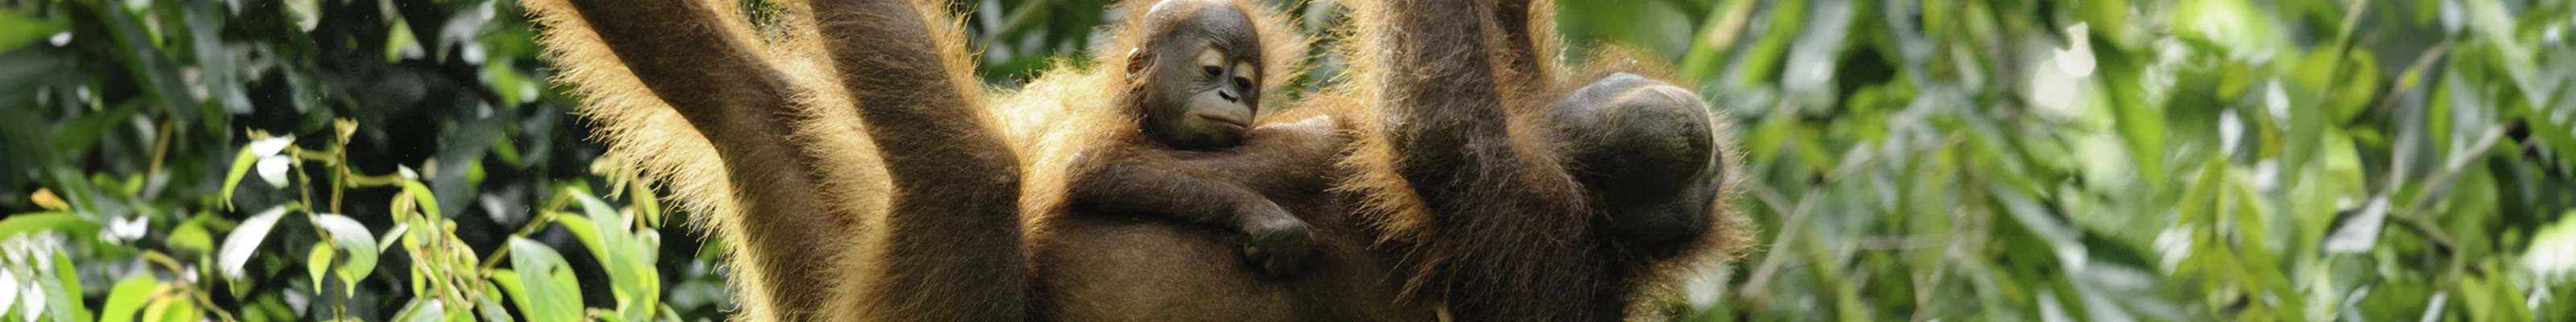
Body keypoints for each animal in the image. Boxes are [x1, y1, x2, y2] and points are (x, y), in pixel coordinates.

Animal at [520, 0, 1748, 320]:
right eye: (1700, 161)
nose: (1709, 156)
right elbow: (1499, 44)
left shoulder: (1532, 239)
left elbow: (1429, 129)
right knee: (747, 101)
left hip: (929, 300)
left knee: (964, 174)